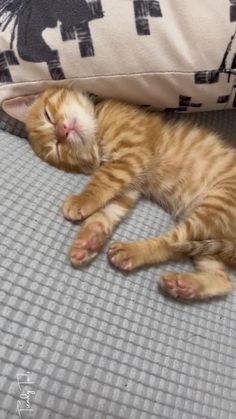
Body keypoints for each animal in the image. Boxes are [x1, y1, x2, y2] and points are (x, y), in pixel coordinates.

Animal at [2, 87, 235, 300]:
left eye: (48, 116)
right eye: (58, 148)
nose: (63, 131)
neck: (99, 126)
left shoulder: (132, 156)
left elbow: (102, 179)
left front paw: (81, 200)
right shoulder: (131, 184)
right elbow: (109, 210)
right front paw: (89, 239)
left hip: (215, 206)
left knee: (173, 242)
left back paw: (133, 251)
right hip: (209, 232)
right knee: (221, 278)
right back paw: (185, 285)